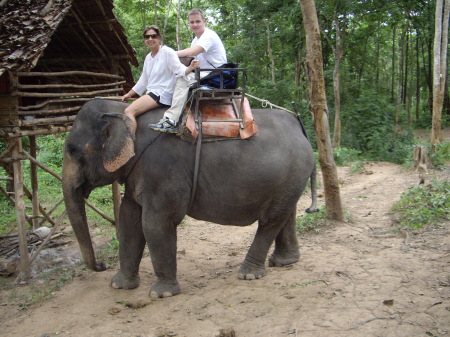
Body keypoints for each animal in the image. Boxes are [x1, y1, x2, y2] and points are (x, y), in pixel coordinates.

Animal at [62, 98, 316, 298]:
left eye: (73, 150)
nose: (102, 264)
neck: (124, 109)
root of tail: (300, 127)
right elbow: (128, 220)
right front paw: (119, 286)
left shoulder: (163, 168)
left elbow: (156, 223)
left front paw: (161, 294)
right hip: (289, 179)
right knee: (286, 214)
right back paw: (284, 262)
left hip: (291, 174)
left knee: (270, 221)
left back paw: (248, 274)